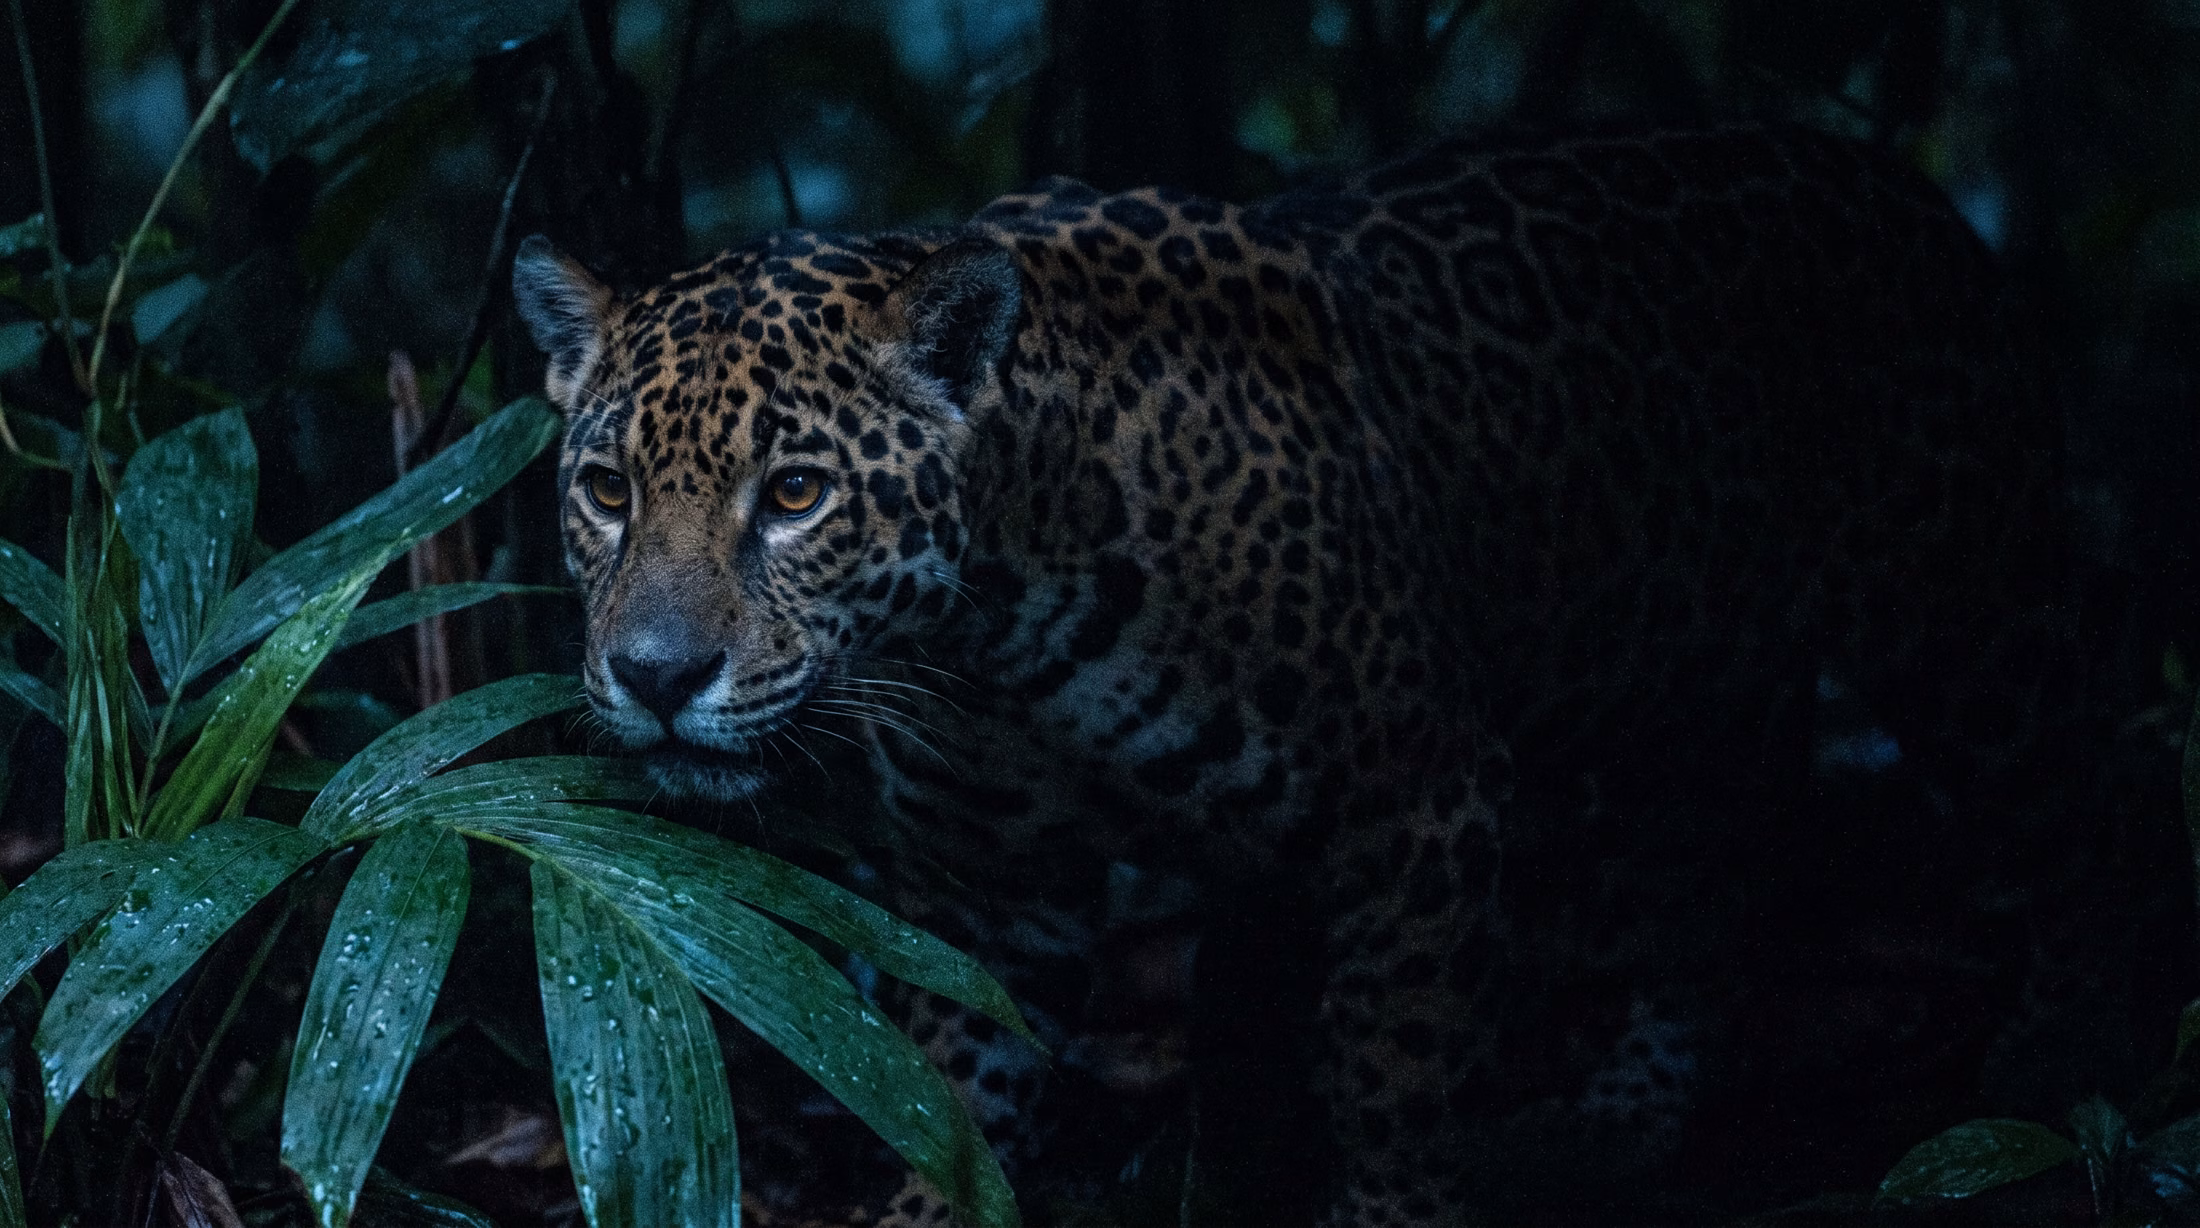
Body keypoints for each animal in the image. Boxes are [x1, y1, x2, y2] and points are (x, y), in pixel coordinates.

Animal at [512, 124, 2079, 1225]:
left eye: (793, 495)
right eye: (604, 489)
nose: (657, 673)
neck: (1001, 632)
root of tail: (1893, 178)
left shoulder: (1423, 809)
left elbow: (1389, 1077)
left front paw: (1392, 1204)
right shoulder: (995, 894)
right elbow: (951, 1095)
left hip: (1973, 628)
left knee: (2084, 787)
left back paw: (2062, 1076)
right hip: (1685, 685)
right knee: (1701, 879)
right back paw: (1617, 1119)